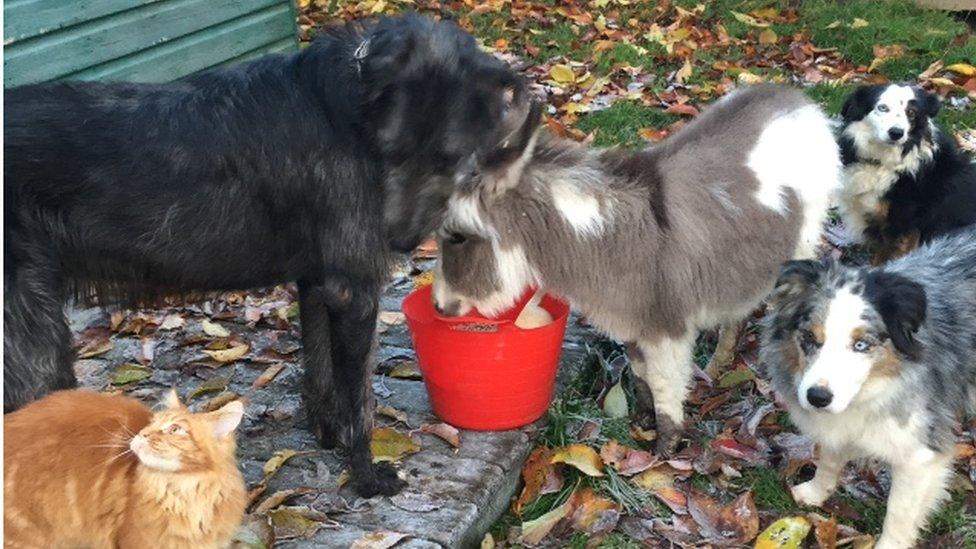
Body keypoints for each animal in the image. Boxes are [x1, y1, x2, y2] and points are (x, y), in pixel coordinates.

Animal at [3, 16, 536, 496]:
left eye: (449, 157)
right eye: (392, 150)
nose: (399, 242)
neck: (354, 106)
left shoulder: (319, 282)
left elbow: (321, 371)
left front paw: (328, 438)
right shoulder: (354, 288)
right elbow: (358, 396)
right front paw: (366, 477)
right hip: (33, 340)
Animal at [764, 226, 976, 544]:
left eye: (861, 345)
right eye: (810, 338)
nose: (817, 397)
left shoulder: (919, 455)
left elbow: (899, 513)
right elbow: (829, 458)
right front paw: (815, 492)